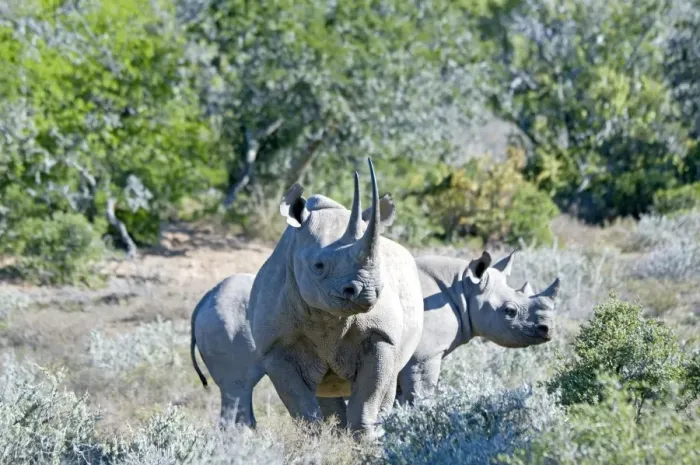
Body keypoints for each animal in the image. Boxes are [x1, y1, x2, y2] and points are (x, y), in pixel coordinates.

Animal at [192, 159, 425, 437]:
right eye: (318, 266)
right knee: (242, 385)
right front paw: (314, 439)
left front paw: (365, 440)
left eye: (378, 263)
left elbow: (368, 397)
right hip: (224, 317)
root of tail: (201, 302)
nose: (366, 291)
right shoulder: (276, 346)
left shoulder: (381, 334)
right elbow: (301, 406)